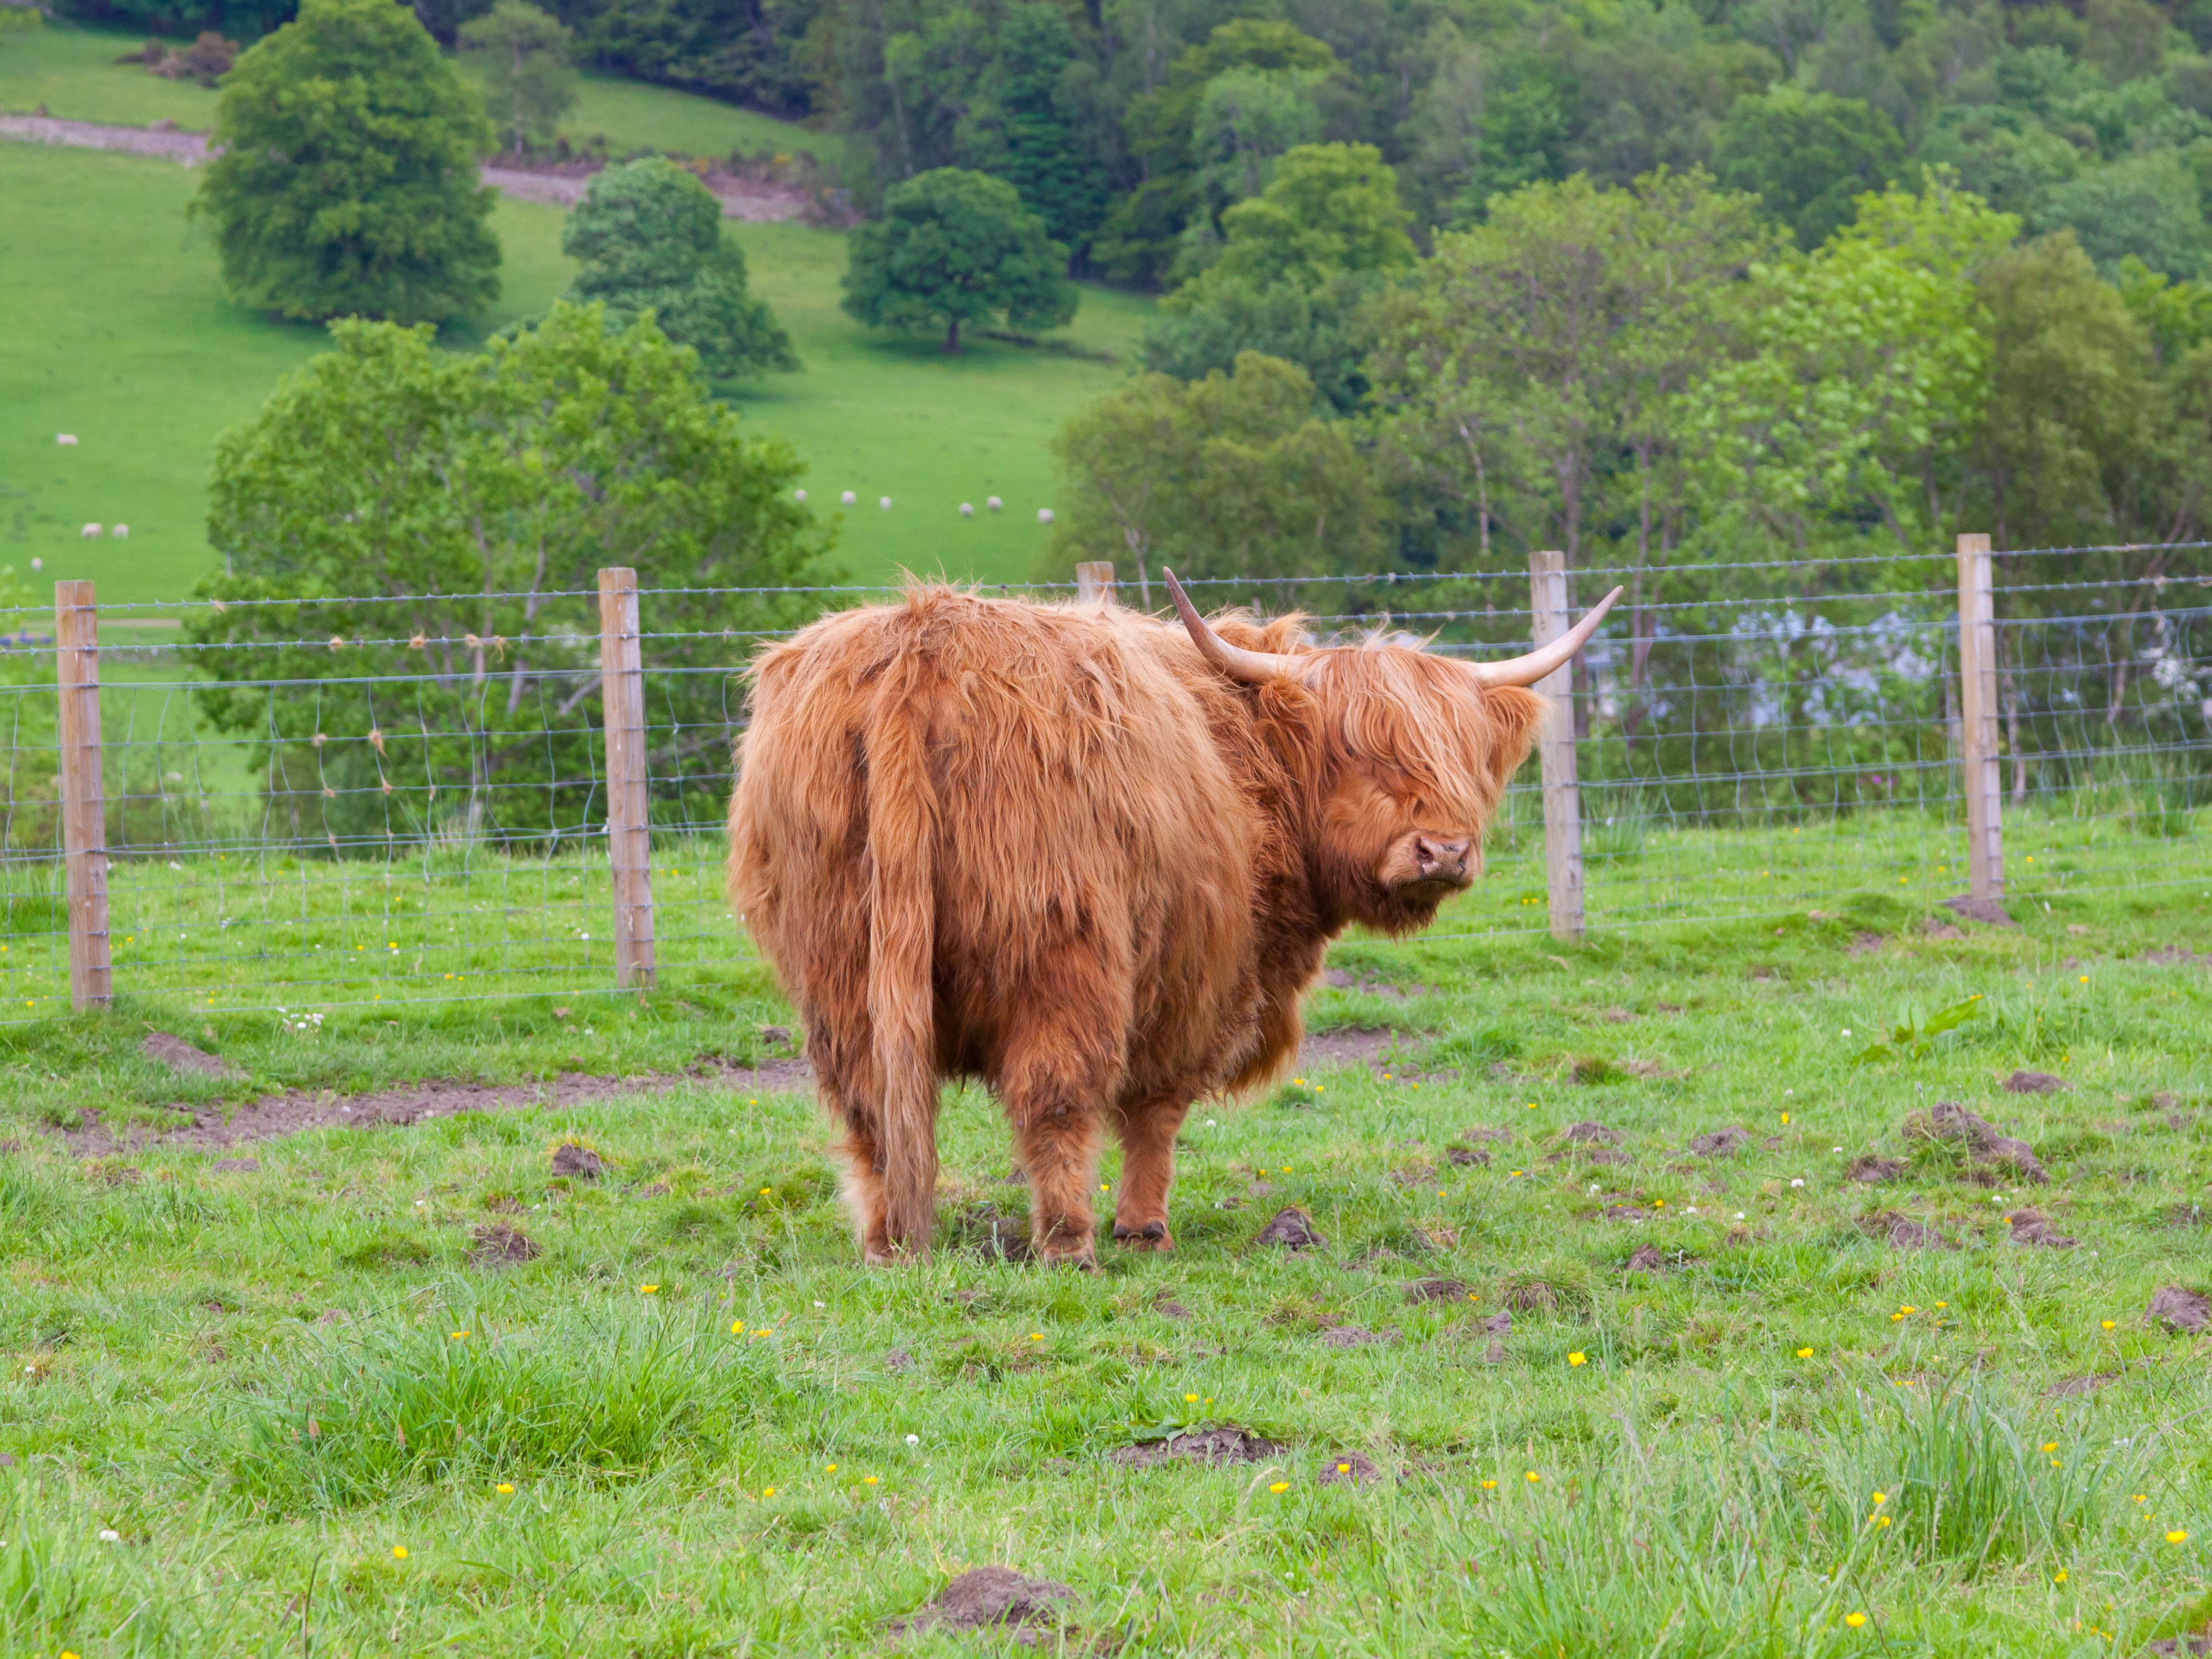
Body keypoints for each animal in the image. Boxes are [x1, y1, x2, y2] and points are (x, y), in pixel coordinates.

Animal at [726, 570, 1618, 1266]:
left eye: (1460, 756)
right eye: (1356, 749)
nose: (1444, 851)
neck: (1256, 768)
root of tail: (924, 634)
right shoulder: (1200, 978)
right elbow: (1154, 1112)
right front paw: (1144, 1227)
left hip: (843, 964)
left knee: (871, 1105)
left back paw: (887, 1245)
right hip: (1065, 948)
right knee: (1055, 1096)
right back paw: (1071, 1242)